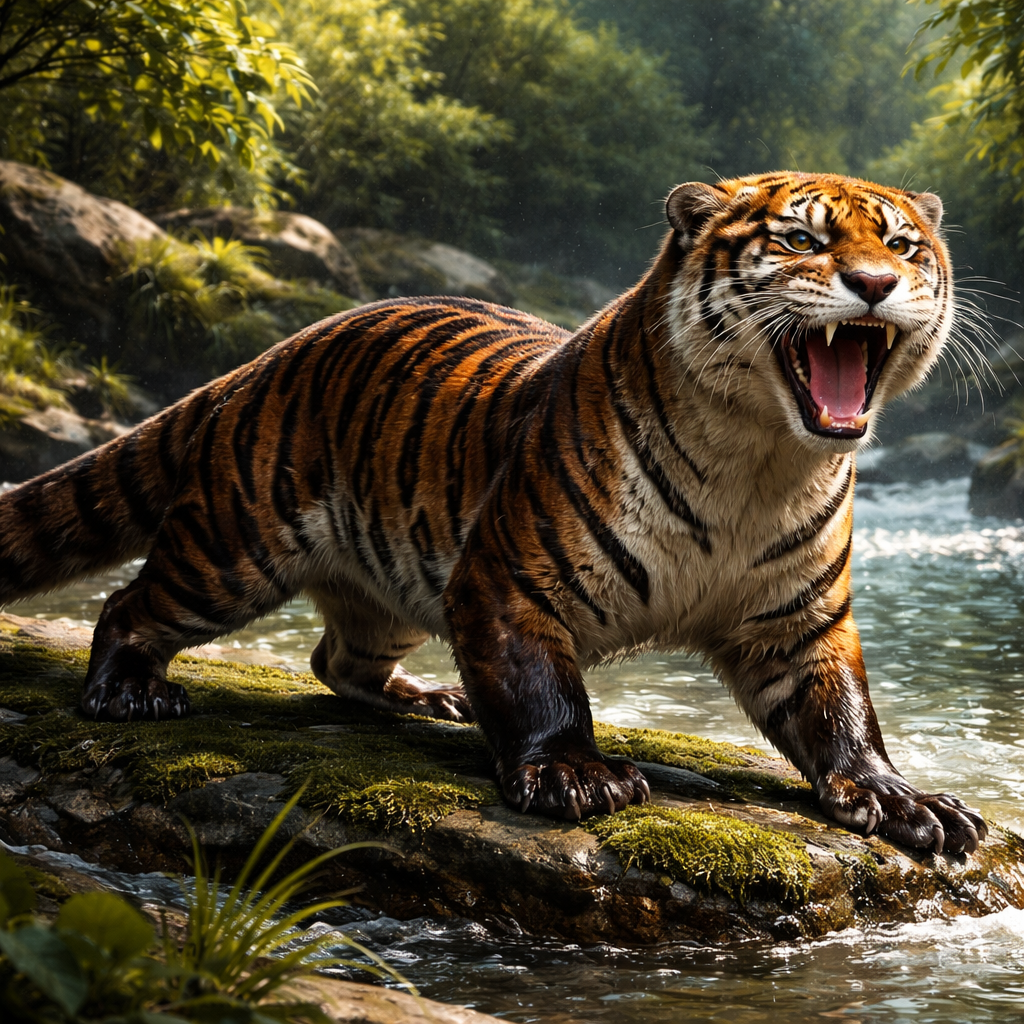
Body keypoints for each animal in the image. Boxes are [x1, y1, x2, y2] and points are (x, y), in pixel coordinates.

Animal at [0, 172, 987, 854]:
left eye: (902, 246)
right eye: (800, 239)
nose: (873, 283)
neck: (759, 460)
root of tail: (269, 354)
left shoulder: (799, 621)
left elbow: (841, 714)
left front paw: (901, 798)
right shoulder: (510, 580)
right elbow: (540, 688)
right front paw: (575, 776)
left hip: (389, 584)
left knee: (335, 658)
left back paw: (428, 696)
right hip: (229, 551)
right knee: (130, 606)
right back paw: (128, 690)